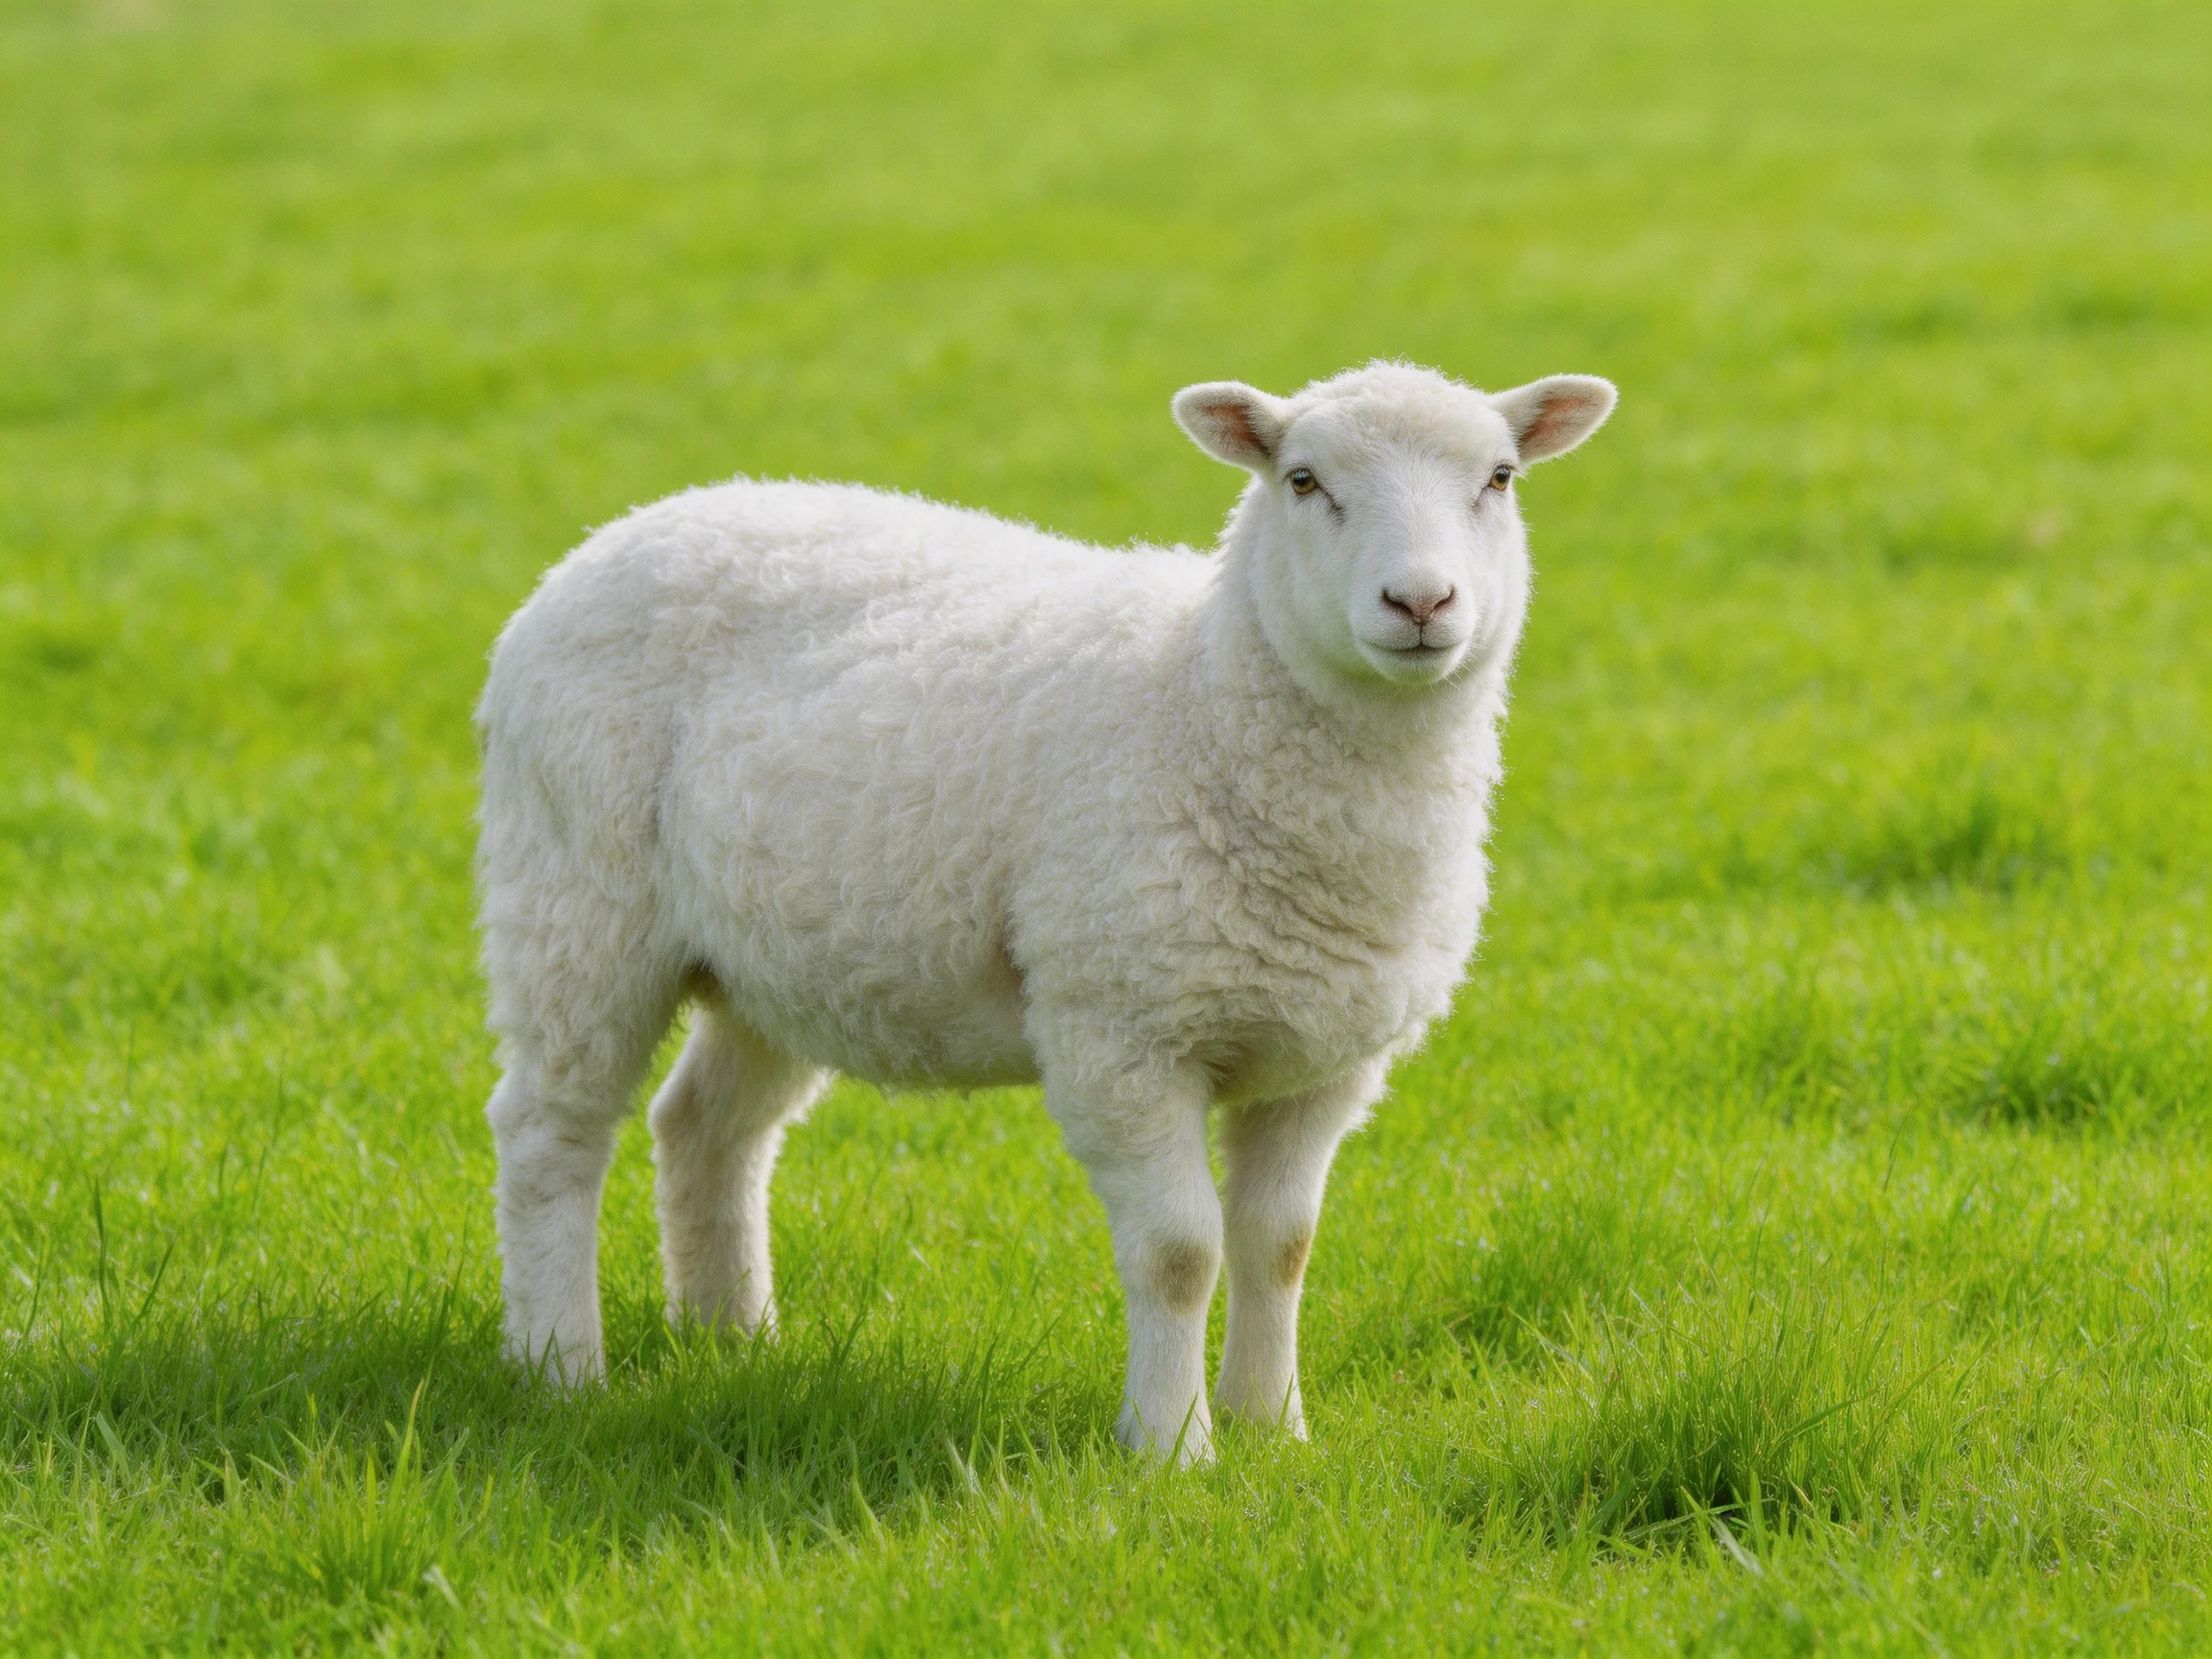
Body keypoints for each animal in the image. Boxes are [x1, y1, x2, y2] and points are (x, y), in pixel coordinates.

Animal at [475, 360, 1616, 1462]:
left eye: (1499, 478)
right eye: (1303, 480)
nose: (1421, 602)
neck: (1201, 700)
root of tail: (627, 530)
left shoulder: (1323, 1059)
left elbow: (1279, 1245)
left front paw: (1273, 1430)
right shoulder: (1121, 1032)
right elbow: (1181, 1253)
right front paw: (1171, 1451)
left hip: (774, 958)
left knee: (705, 1128)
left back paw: (732, 1339)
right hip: (576, 900)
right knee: (550, 1131)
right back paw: (558, 1367)